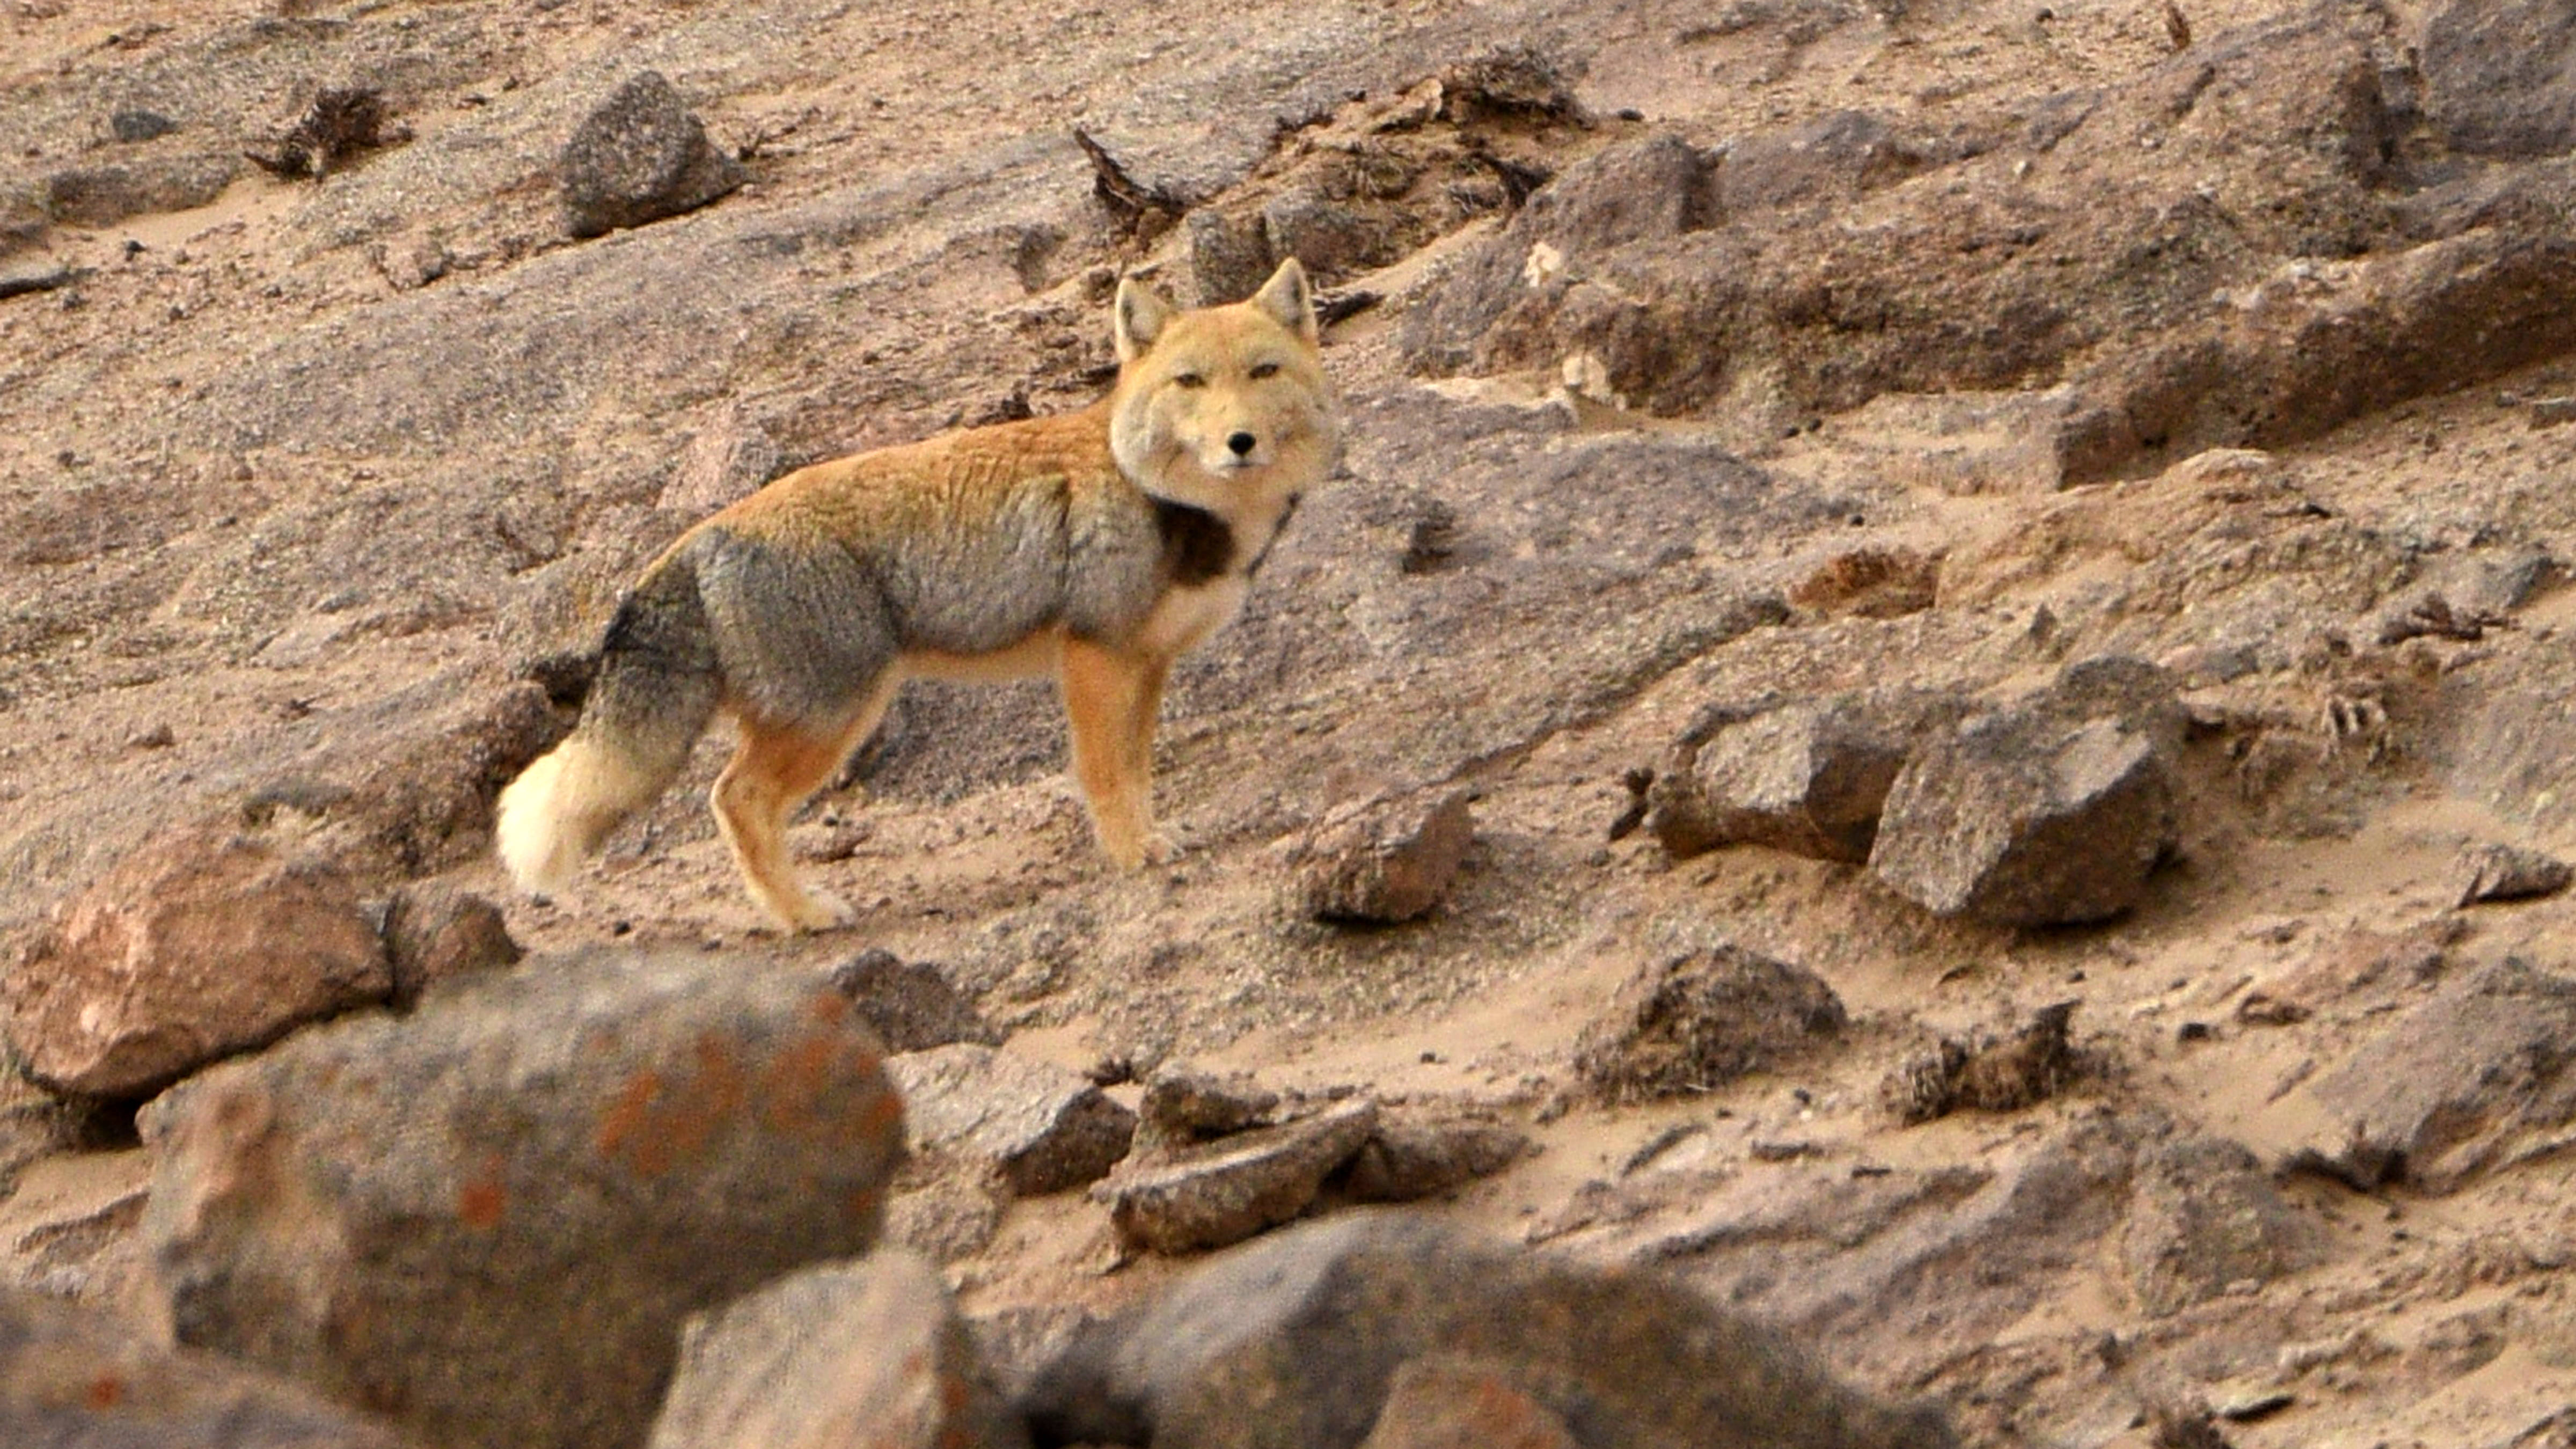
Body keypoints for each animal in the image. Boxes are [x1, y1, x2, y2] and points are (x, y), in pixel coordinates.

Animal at [497, 257, 1350, 938]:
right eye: (1190, 383)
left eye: (1264, 373)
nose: (1239, 442)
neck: (1162, 497)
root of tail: (701, 533)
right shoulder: (1093, 657)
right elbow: (1106, 774)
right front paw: (1132, 853)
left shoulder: (1148, 663)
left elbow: (1138, 769)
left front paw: (1147, 835)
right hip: (834, 716)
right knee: (735, 800)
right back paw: (802, 915)